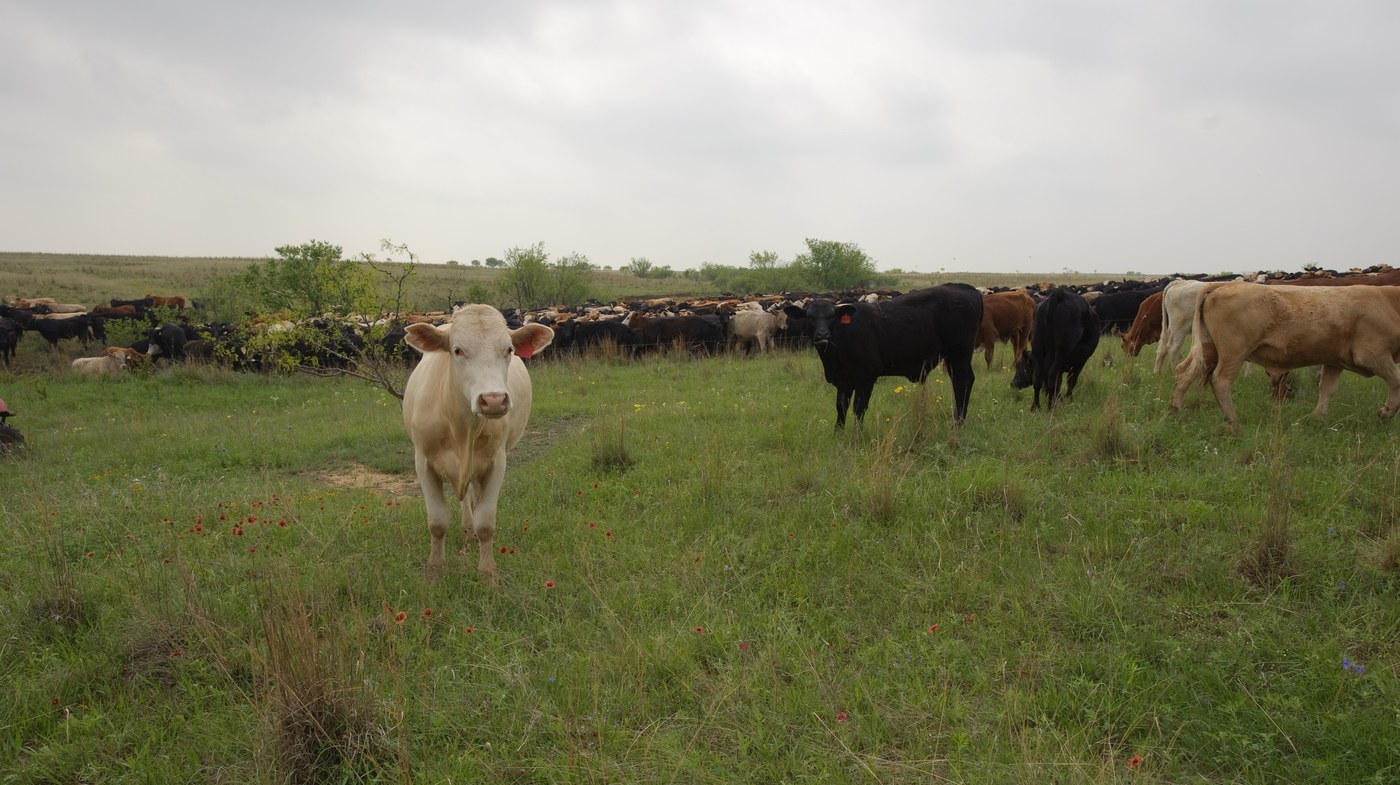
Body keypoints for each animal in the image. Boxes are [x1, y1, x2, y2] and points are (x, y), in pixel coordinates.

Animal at [401, 305, 554, 582]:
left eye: (509, 350)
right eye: (458, 350)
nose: (493, 400)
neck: (461, 427)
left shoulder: (496, 462)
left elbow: (486, 523)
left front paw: (488, 572)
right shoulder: (423, 462)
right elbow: (437, 522)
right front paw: (435, 568)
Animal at [783, 284, 983, 427]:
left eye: (832, 316)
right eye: (810, 317)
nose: (823, 334)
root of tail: (966, 288)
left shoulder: (866, 378)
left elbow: (859, 409)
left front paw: (856, 437)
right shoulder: (843, 381)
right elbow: (841, 407)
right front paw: (837, 434)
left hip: (959, 352)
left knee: (962, 381)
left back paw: (958, 423)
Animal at [1170, 282, 1400, 428]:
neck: (1389, 302)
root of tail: (1222, 285)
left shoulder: (1334, 362)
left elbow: (1327, 389)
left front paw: (1318, 418)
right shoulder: (1373, 355)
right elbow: (1397, 380)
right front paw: (1387, 412)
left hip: (1209, 349)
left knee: (1184, 372)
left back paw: (1175, 409)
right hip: (1233, 353)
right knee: (1220, 381)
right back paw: (1233, 421)